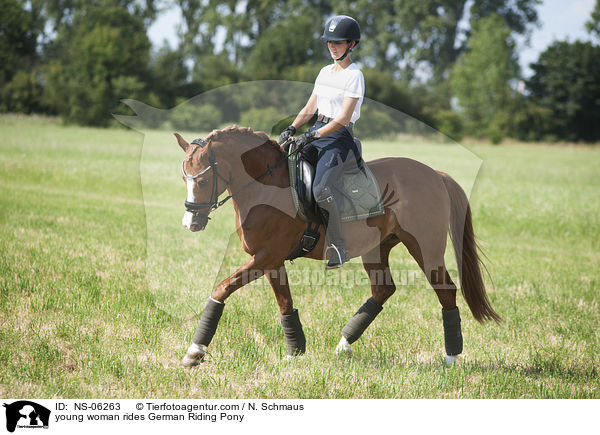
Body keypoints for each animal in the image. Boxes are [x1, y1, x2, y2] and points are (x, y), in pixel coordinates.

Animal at [176, 127, 500, 368]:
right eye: (183, 178)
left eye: (203, 179)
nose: (191, 222)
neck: (266, 186)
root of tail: (435, 174)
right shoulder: (271, 260)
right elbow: (285, 304)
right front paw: (295, 351)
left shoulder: (266, 257)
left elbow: (221, 289)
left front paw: (195, 351)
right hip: (377, 249)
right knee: (383, 290)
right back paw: (344, 344)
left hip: (425, 249)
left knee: (445, 291)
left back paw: (451, 357)